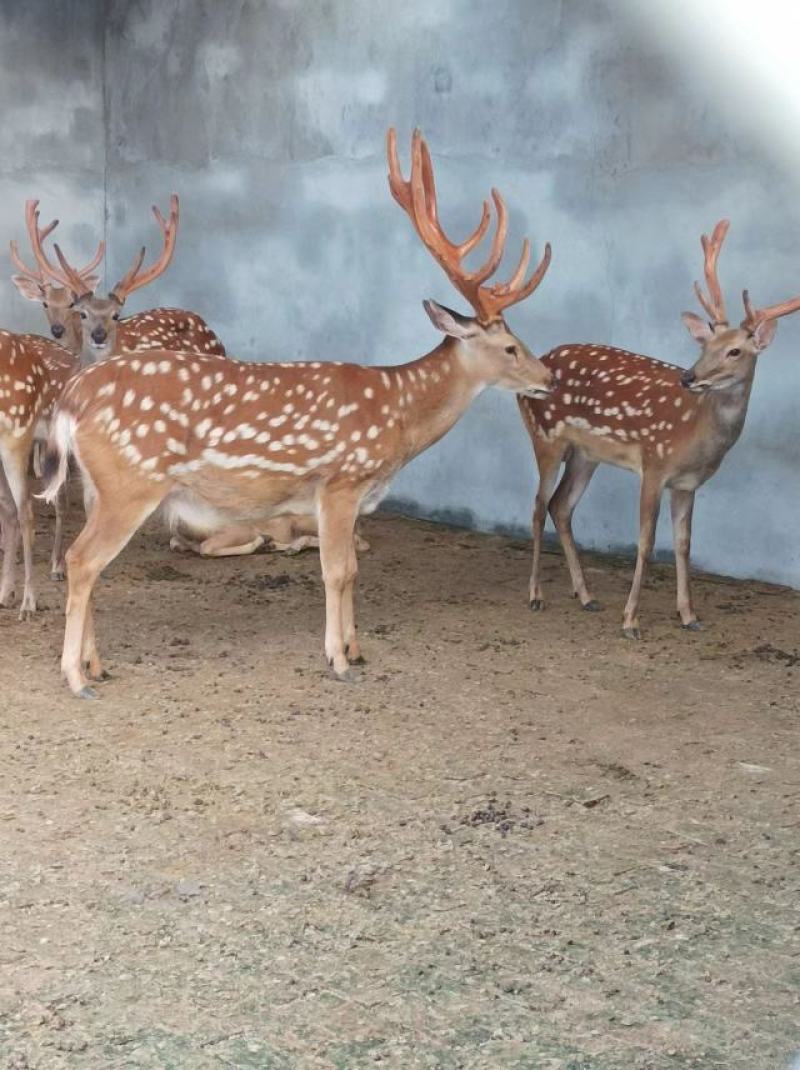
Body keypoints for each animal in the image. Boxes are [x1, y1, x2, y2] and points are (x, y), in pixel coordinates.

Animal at [40, 127, 554, 697]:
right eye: (510, 347)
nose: (548, 379)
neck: (397, 417)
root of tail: (74, 394)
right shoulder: (340, 481)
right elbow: (337, 571)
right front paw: (339, 659)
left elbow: (353, 570)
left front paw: (357, 649)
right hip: (131, 481)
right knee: (82, 559)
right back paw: (75, 676)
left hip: (96, 484)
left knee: (90, 563)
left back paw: (96, 664)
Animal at [518, 219, 800, 639]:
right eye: (704, 344)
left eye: (735, 351)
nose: (689, 376)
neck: (697, 436)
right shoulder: (653, 463)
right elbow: (646, 541)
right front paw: (631, 621)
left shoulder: (687, 483)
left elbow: (684, 544)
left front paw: (689, 615)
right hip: (546, 436)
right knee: (538, 506)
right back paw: (536, 595)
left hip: (587, 455)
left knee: (560, 505)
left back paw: (586, 596)